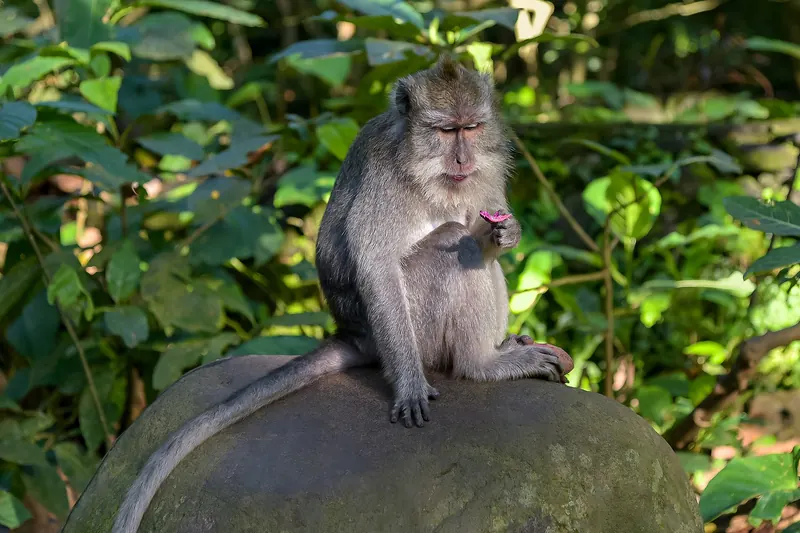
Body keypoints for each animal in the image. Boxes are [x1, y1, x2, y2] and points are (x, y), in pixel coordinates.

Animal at [111, 55, 566, 533]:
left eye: (473, 127)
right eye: (445, 131)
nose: (463, 157)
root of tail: (355, 335)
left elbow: (484, 231)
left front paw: (507, 232)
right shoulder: (386, 183)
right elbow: (378, 268)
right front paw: (409, 386)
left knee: (470, 248)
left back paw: (502, 347)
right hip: (416, 330)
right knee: (452, 244)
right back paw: (481, 364)